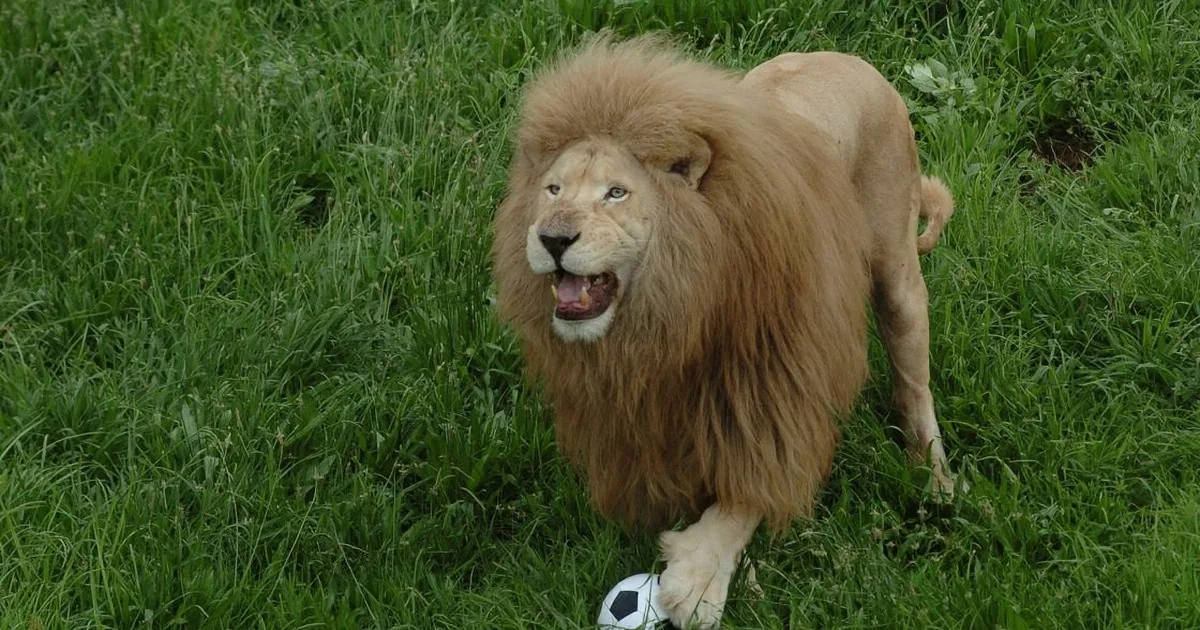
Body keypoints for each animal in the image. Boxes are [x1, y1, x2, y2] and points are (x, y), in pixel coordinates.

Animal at [490, 33, 958, 628]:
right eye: (552, 189)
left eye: (616, 193)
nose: (552, 238)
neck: (673, 310)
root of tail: (855, 63)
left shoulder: (779, 379)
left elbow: (751, 488)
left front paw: (696, 578)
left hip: (897, 275)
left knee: (915, 385)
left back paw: (935, 480)